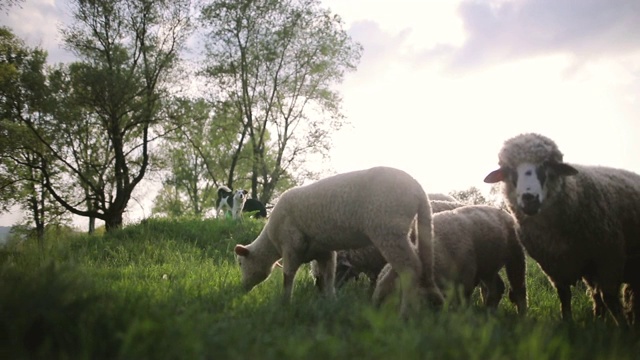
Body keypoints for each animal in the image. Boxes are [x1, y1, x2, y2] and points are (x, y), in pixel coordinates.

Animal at [232, 166, 442, 316]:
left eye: (241, 263)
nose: (242, 289)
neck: (271, 240)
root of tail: (419, 190)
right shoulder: (324, 252)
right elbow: (328, 277)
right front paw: (330, 303)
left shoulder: (291, 244)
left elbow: (288, 276)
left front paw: (284, 304)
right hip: (403, 232)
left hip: (388, 230)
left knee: (410, 268)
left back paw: (405, 314)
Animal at [376, 205, 524, 316]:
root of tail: (503, 211)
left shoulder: (466, 276)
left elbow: (463, 300)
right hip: (488, 265)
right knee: (497, 288)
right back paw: (490, 312)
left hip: (515, 253)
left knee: (518, 287)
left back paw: (521, 315)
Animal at [482, 134, 640, 324]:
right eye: (508, 169)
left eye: (546, 164)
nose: (529, 198)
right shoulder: (554, 266)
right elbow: (565, 296)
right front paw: (568, 322)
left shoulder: (609, 257)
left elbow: (609, 297)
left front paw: (623, 327)